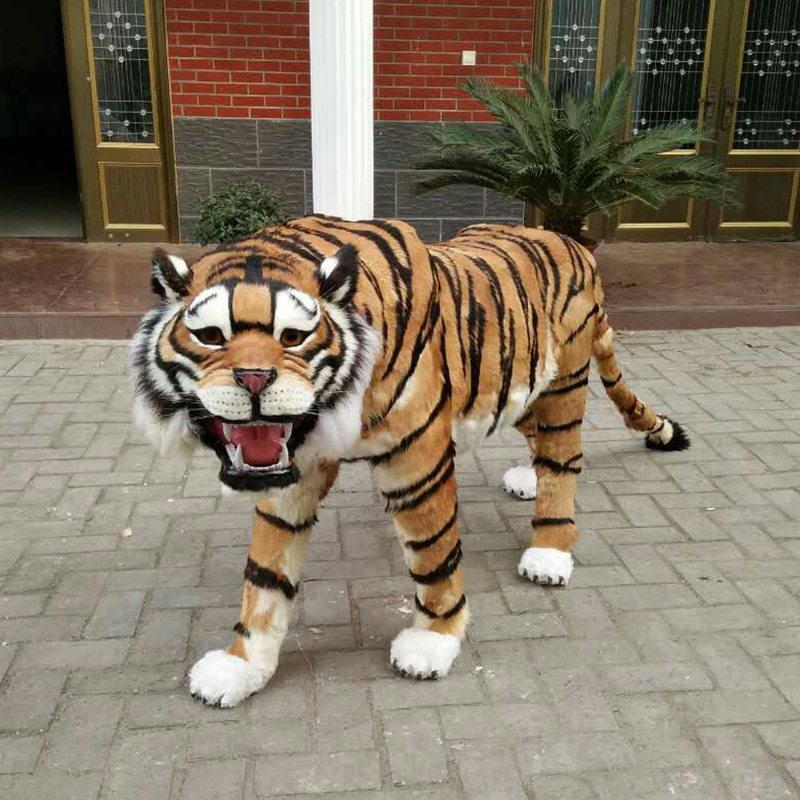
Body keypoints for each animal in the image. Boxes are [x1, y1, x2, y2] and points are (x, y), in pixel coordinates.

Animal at [131, 214, 689, 707]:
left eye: (293, 337)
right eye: (211, 336)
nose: (253, 379)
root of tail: (571, 243)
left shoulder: (417, 455)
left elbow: (433, 553)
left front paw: (432, 640)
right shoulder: (292, 468)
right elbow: (265, 575)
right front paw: (241, 665)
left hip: (564, 386)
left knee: (564, 459)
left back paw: (548, 551)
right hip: (519, 380)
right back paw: (526, 480)